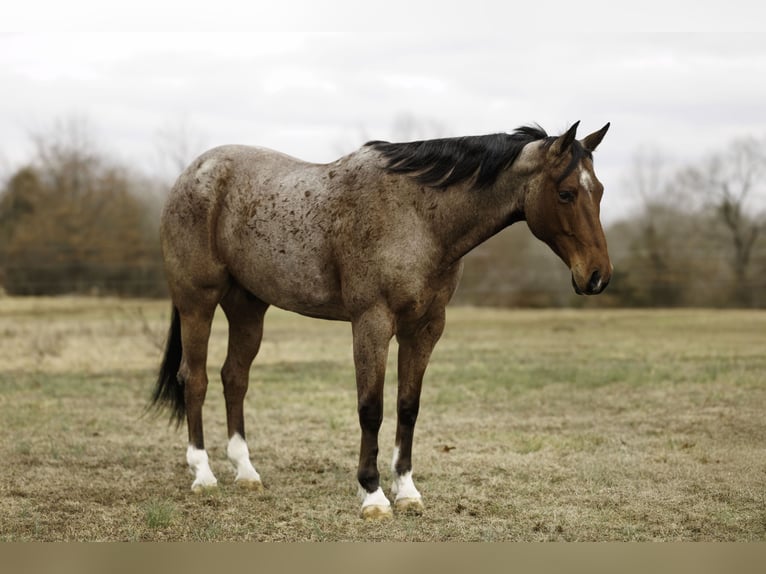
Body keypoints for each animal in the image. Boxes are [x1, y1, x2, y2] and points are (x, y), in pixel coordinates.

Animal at [151, 120, 612, 519]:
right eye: (567, 193)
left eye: (601, 191)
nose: (598, 276)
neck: (420, 216)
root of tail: (193, 172)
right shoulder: (371, 322)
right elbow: (370, 408)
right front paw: (372, 494)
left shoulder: (425, 328)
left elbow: (408, 406)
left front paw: (406, 490)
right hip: (198, 302)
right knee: (195, 378)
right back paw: (203, 475)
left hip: (248, 307)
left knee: (234, 378)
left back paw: (246, 472)